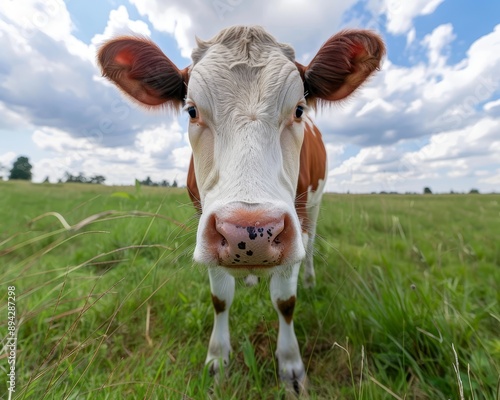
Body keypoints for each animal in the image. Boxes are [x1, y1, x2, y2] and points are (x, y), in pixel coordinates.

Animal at [98, 25, 386, 394]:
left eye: (299, 109)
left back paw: (307, 277)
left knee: (309, 248)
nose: (252, 233)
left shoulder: (298, 221)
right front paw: (217, 360)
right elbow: (220, 298)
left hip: (316, 205)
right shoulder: (205, 228)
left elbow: (285, 301)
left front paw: (291, 366)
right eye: (192, 110)